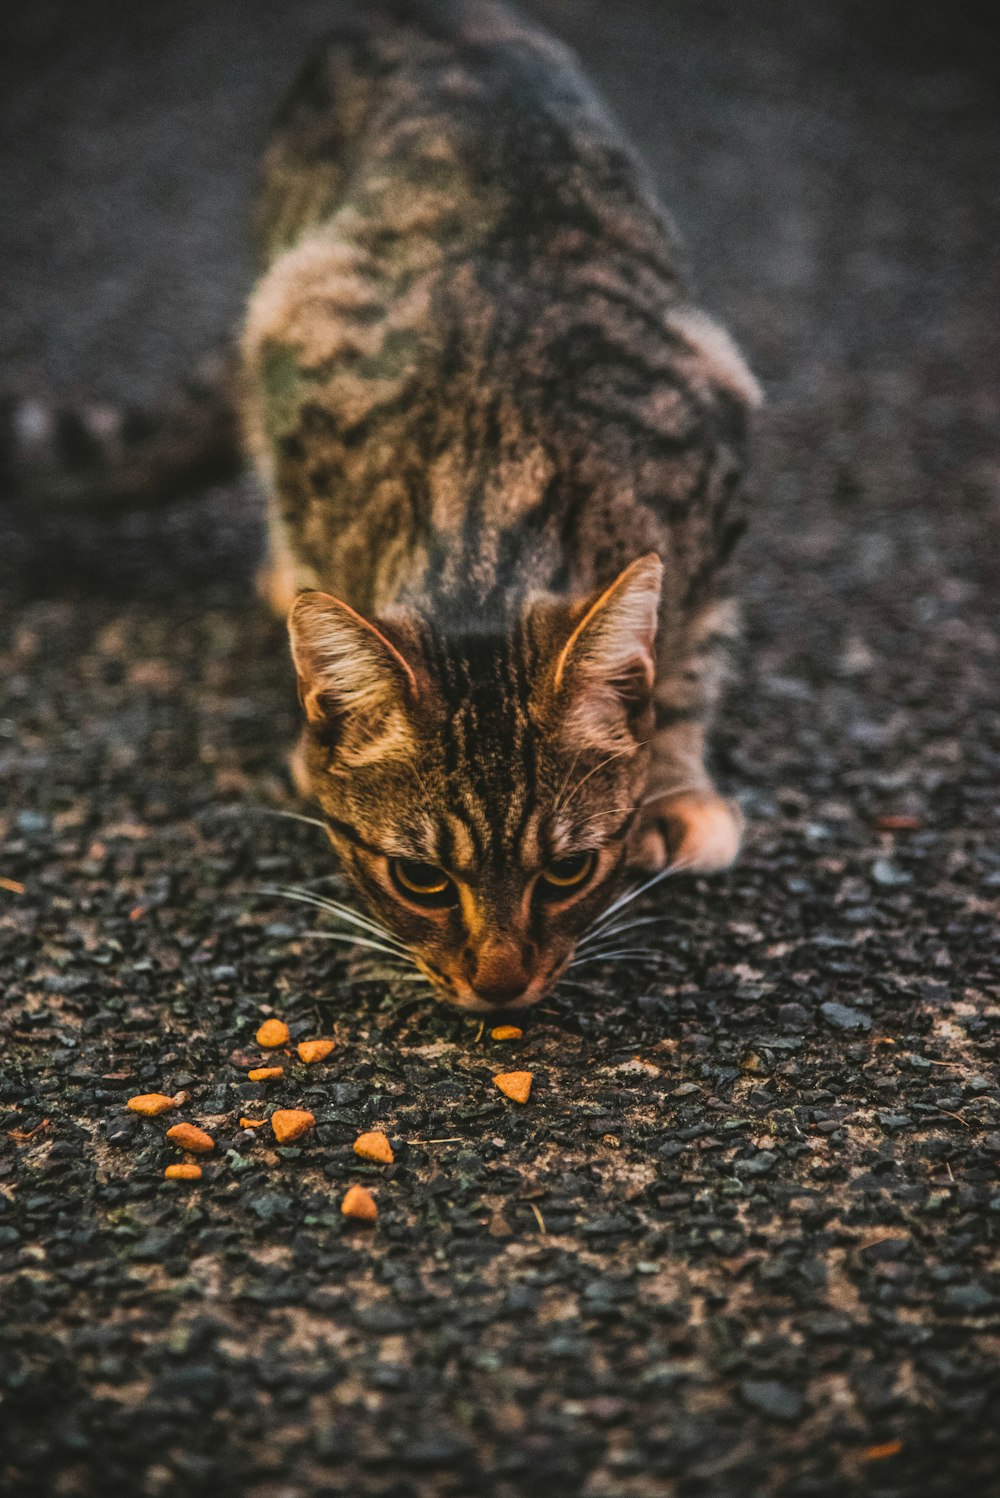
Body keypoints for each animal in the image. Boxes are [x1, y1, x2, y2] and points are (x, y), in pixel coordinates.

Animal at [239, 2, 757, 1018]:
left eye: (567, 873)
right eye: (421, 880)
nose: (502, 986)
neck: (489, 493)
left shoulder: (715, 436)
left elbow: (691, 661)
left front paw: (673, 782)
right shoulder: (292, 352)